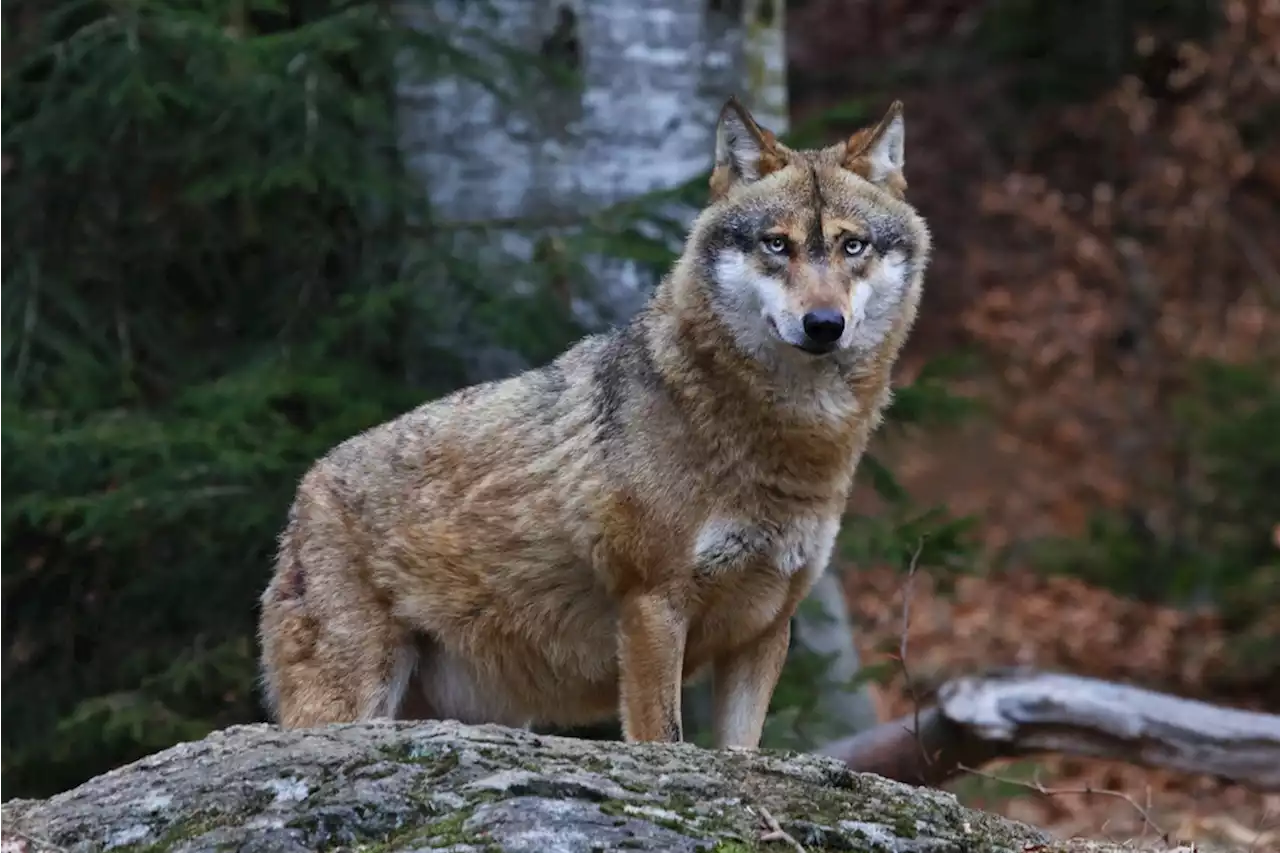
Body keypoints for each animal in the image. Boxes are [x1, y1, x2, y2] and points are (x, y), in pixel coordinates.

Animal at [257, 94, 931, 742]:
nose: (824, 324)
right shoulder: (653, 606)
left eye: (852, 245)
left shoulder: (766, 628)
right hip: (351, 701)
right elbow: (663, 738)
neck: (792, 441)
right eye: (776, 244)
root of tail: (307, 485)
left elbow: (741, 752)